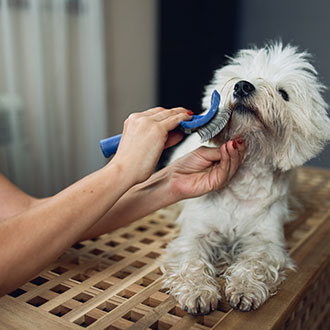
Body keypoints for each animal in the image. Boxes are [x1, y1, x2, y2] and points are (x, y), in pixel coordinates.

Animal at [161, 42, 330, 316]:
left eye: (283, 93)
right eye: (243, 76)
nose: (242, 86)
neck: (245, 177)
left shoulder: (266, 241)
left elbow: (256, 263)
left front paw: (245, 290)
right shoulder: (195, 235)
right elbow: (192, 261)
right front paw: (198, 292)